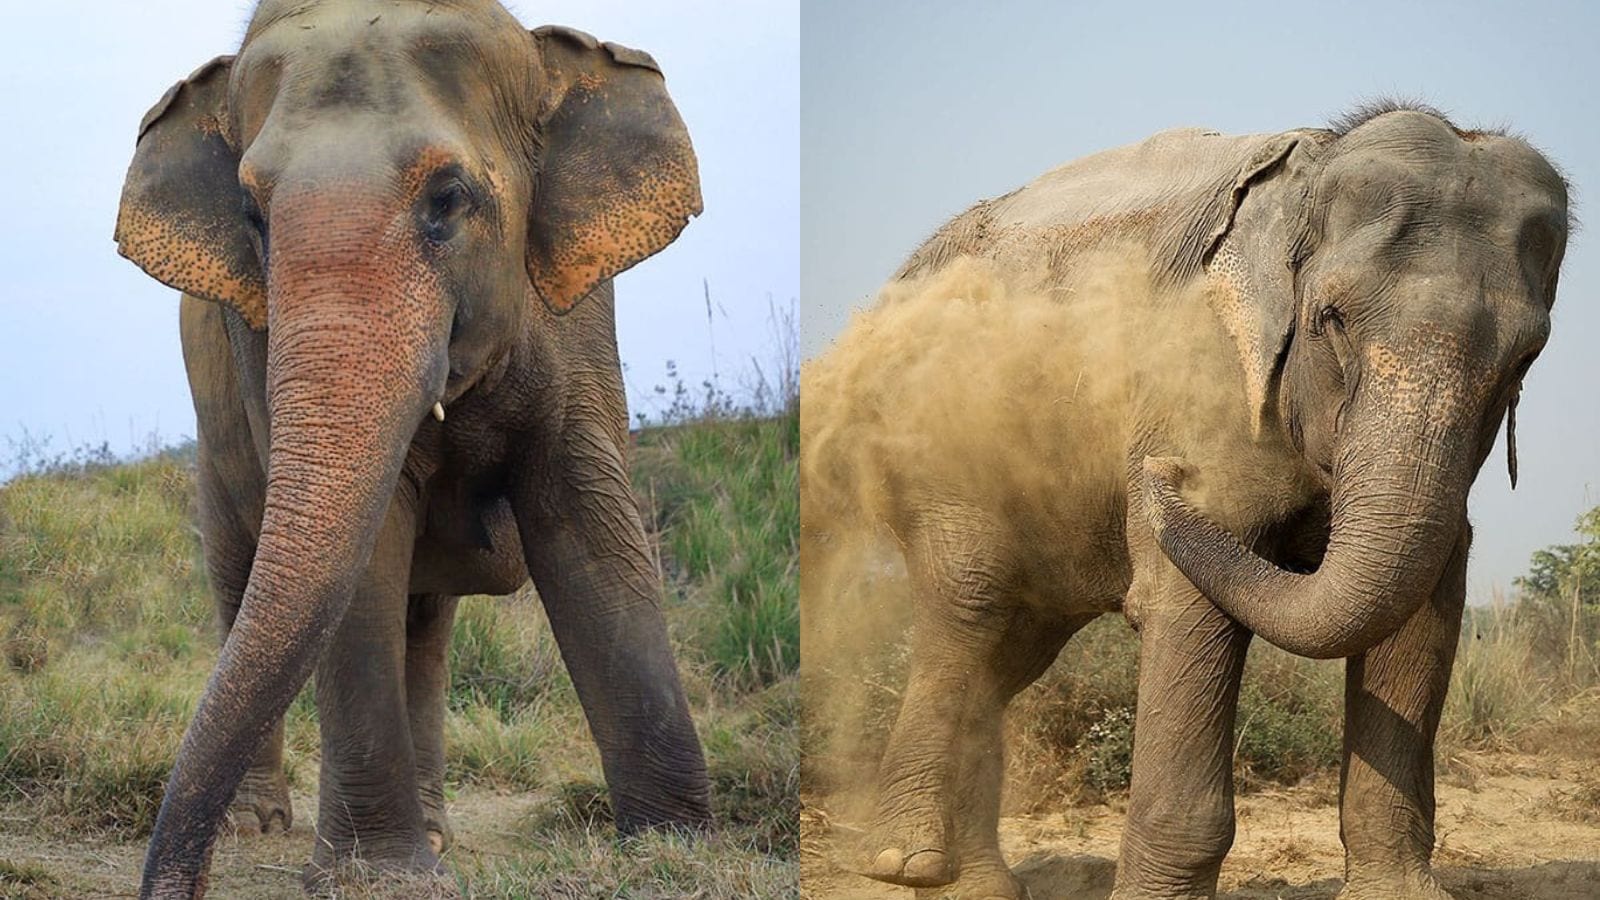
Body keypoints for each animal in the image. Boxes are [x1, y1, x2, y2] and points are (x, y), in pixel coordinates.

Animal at [114, 1, 711, 896]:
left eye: (448, 197)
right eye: (252, 215)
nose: (175, 883)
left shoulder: (576, 316)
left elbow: (590, 527)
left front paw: (679, 847)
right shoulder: (255, 340)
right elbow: (369, 552)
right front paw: (380, 876)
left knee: (425, 625)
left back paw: (434, 833)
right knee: (238, 576)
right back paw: (264, 824)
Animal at [800, 102, 1568, 900]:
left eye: (1525, 358)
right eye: (1332, 320)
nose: (1159, 471)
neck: (1312, 173)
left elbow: (1422, 606)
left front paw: (1401, 893)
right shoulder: (1198, 377)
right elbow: (1186, 604)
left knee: (1013, 651)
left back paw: (977, 884)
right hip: (940, 447)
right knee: (971, 605)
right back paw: (906, 862)